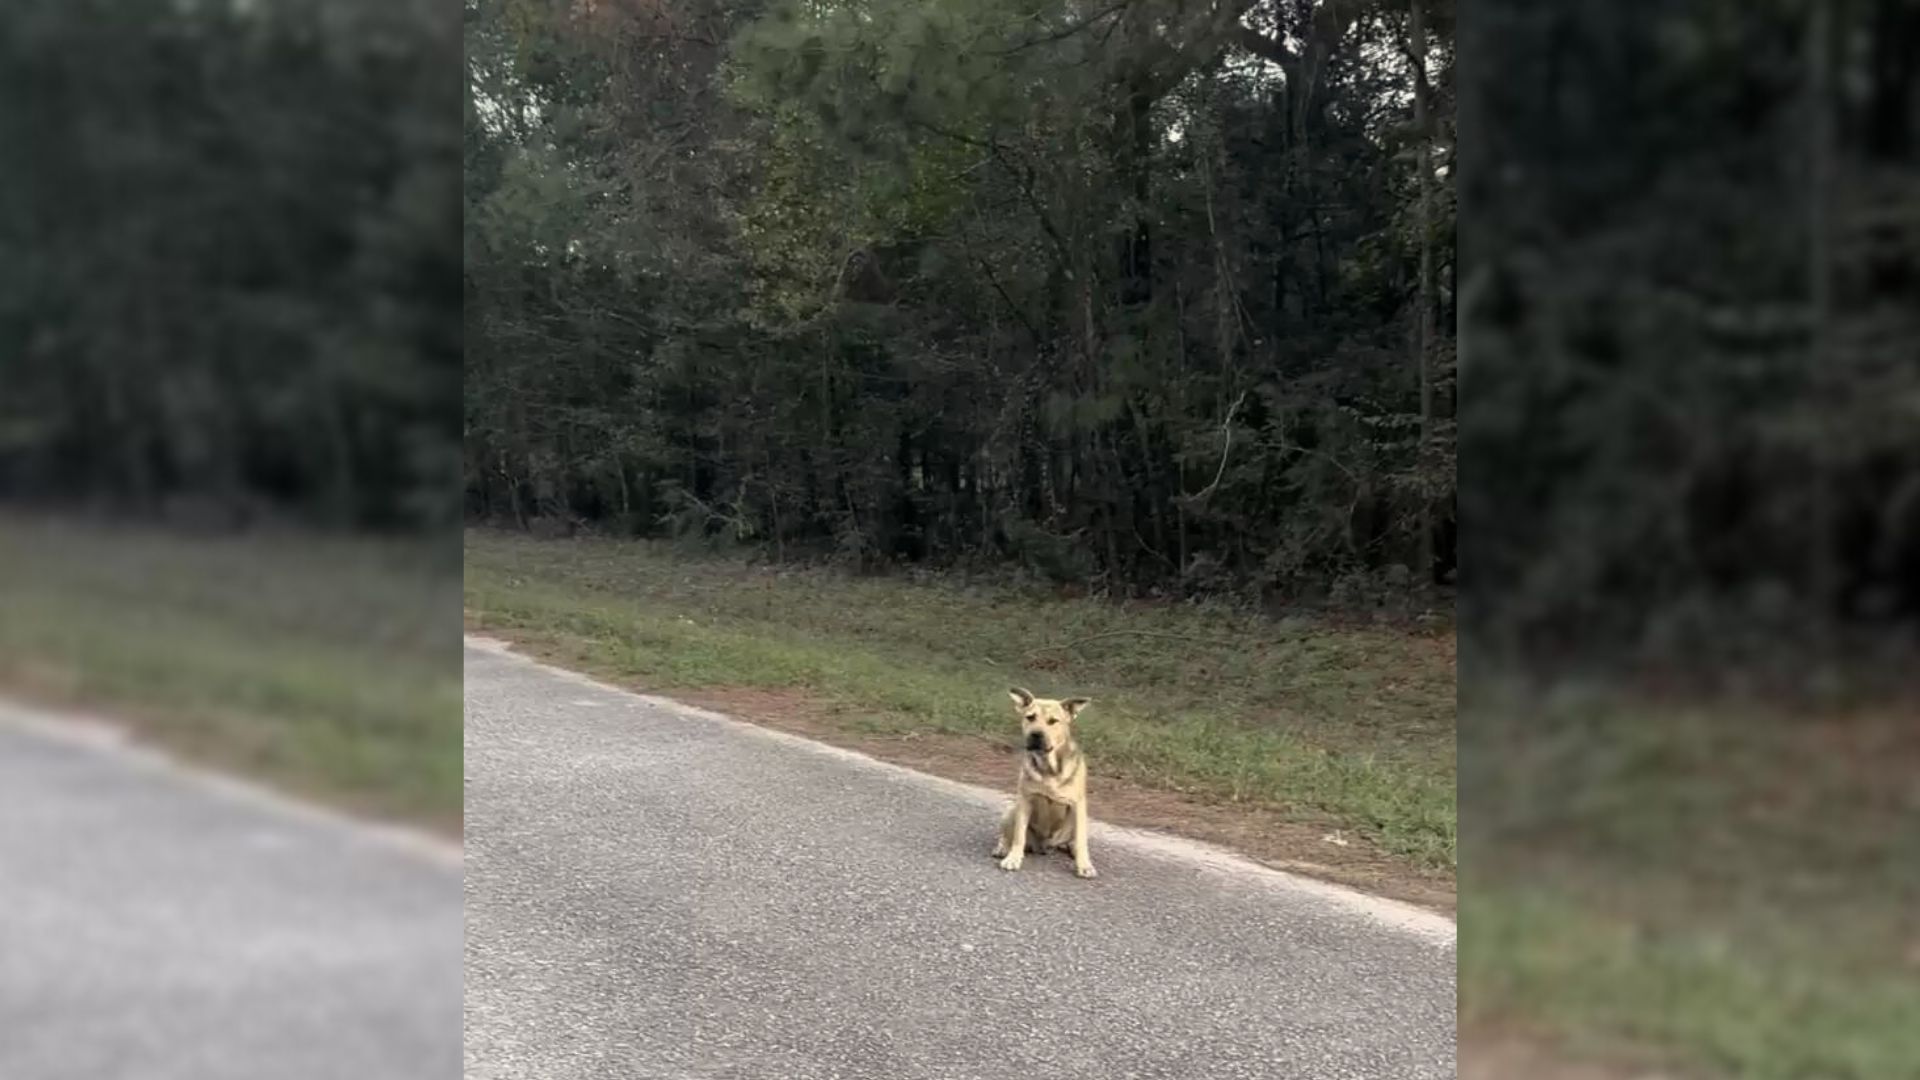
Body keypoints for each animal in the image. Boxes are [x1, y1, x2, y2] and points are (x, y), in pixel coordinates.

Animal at [990, 687, 1098, 876]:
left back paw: (1071, 848)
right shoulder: (1025, 800)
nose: (1036, 734)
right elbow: (1018, 835)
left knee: (1074, 839)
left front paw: (1084, 865)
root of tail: (1045, 846)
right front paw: (1013, 858)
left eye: (1053, 721)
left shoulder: (1078, 805)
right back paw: (1003, 848)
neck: (1049, 766)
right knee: (1007, 835)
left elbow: (1081, 840)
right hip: (1012, 810)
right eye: (1030, 717)